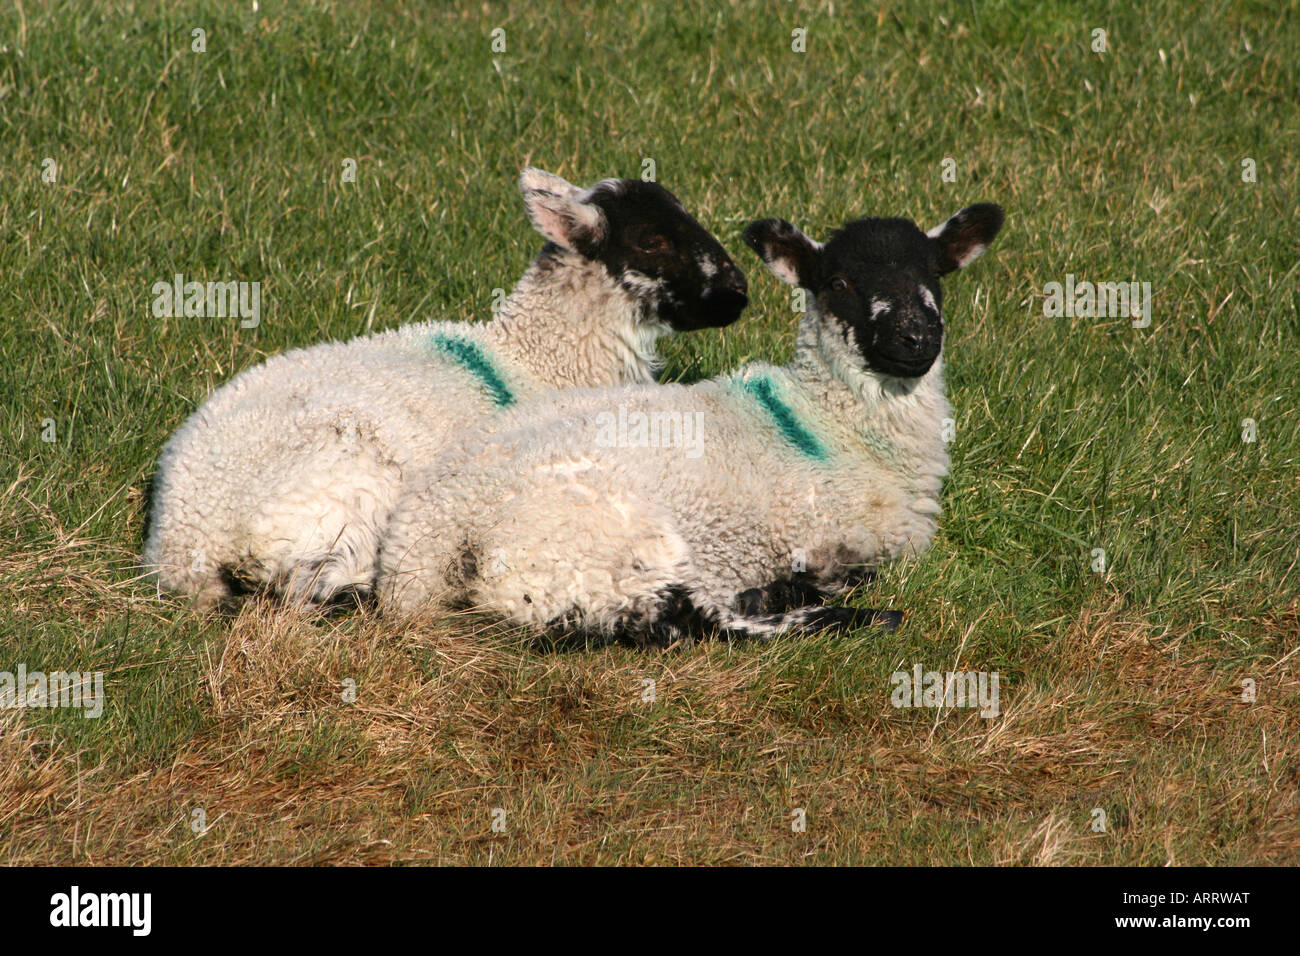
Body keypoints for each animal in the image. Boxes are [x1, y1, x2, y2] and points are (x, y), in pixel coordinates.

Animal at [376, 202, 1005, 644]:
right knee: (676, 620)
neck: (830, 423)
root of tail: (427, 542)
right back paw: (846, 615)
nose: (916, 338)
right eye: (839, 283)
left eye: (936, 276)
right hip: (580, 555)